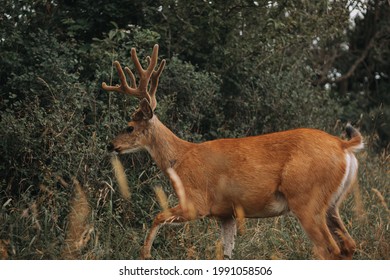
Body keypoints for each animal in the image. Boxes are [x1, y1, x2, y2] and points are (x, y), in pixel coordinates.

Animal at [102, 44, 364, 260]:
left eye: (129, 126)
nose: (110, 145)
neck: (180, 159)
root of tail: (343, 145)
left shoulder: (197, 202)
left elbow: (157, 216)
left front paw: (144, 253)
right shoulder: (225, 213)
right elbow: (226, 254)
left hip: (306, 199)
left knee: (329, 249)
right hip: (331, 204)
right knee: (348, 246)